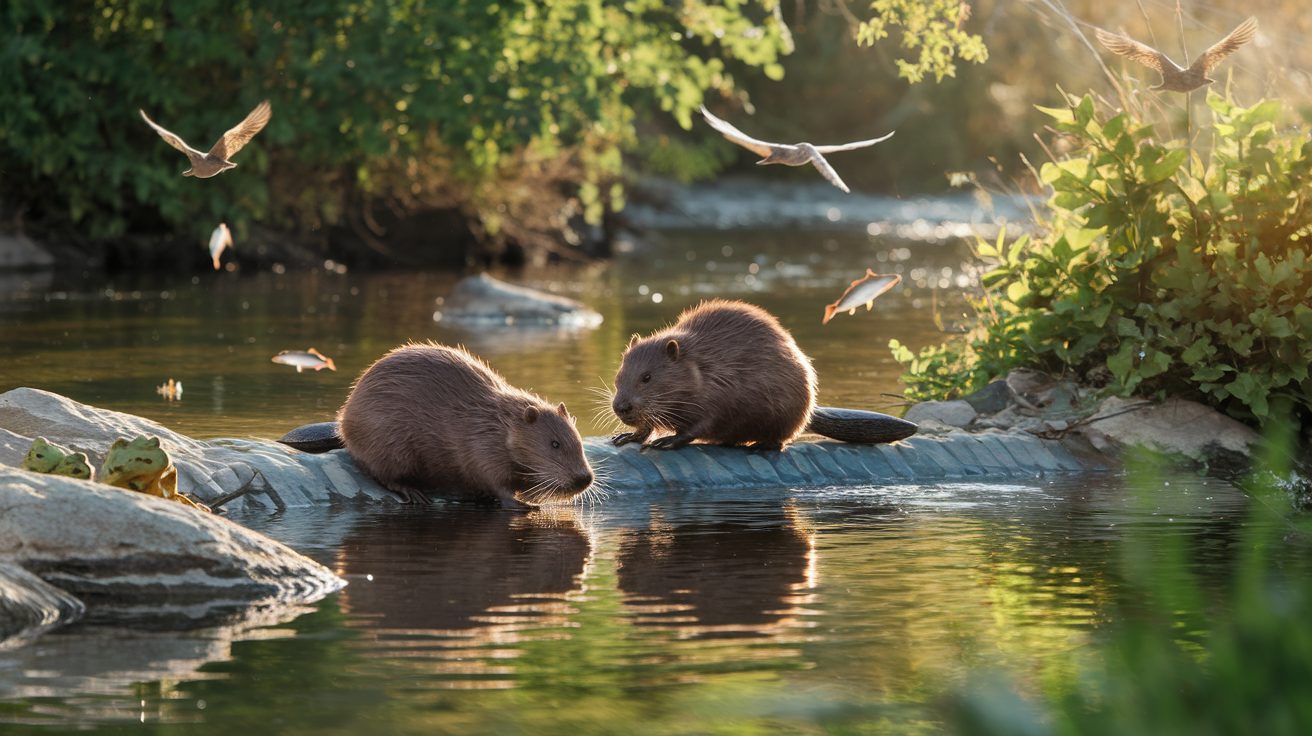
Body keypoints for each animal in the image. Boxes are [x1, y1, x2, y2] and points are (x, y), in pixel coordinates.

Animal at [335, 343, 593, 503]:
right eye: (554, 444)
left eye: (578, 439)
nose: (584, 478)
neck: (498, 424)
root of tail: (343, 421)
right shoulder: (482, 447)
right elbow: (494, 482)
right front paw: (525, 505)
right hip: (388, 446)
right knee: (384, 474)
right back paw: (415, 493)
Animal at [608, 296, 813, 448]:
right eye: (619, 376)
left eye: (647, 377)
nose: (622, 407)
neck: (701, 367)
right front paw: (626, 436)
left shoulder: (719, 389)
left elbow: (702, 423)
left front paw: (666, 441)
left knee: (780, 438)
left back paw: (762, 446)